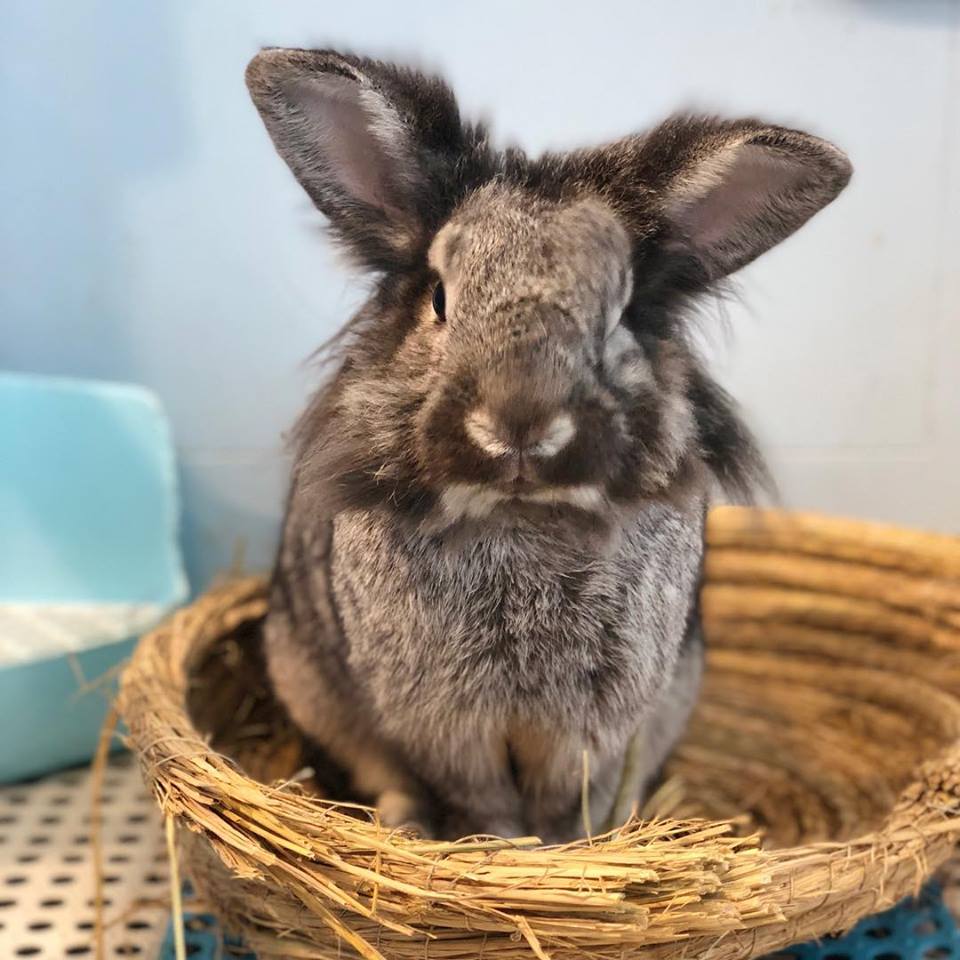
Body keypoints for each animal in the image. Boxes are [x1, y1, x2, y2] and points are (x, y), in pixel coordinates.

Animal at [246, 47, 848, 840]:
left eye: (618, 314)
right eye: (440, 297)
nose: (520, 423)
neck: (518, 510)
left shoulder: (591, 729)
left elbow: (568, 800)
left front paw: (561, 847)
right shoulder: (445, 725)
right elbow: (484, 803)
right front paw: (501, 846)